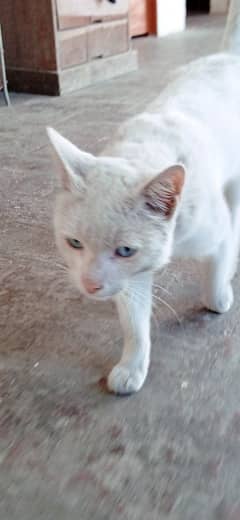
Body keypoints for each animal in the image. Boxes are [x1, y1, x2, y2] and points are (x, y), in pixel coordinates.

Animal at [47, 1, 240, 394]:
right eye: (74, 243)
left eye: (125, 250)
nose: (91, 286)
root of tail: (226, 55)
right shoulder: (129, 279)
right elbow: (134, 323)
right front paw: (133, 366)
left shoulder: (215, 231)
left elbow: (215, 277)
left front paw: (221, 290)